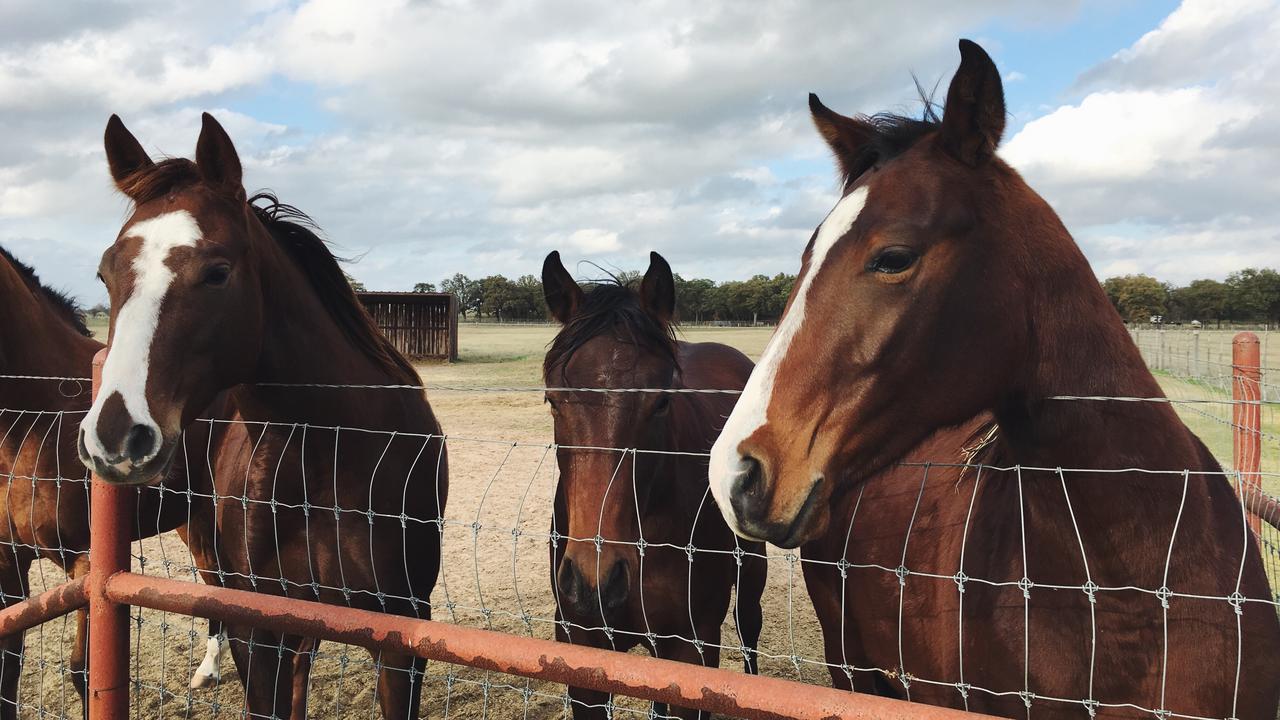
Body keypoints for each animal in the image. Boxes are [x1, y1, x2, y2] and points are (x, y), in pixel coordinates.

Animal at [80, 113, 450, 717]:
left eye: (217, 272)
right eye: (105, 273)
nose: (115, 436)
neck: (332, 451)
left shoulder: (401, 637)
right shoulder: (259, 632)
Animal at [542, 249, 768, 712]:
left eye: (662, 401)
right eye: (553, 400)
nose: (596, 580)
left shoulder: (692, 650)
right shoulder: (583, 648)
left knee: (749, 630)